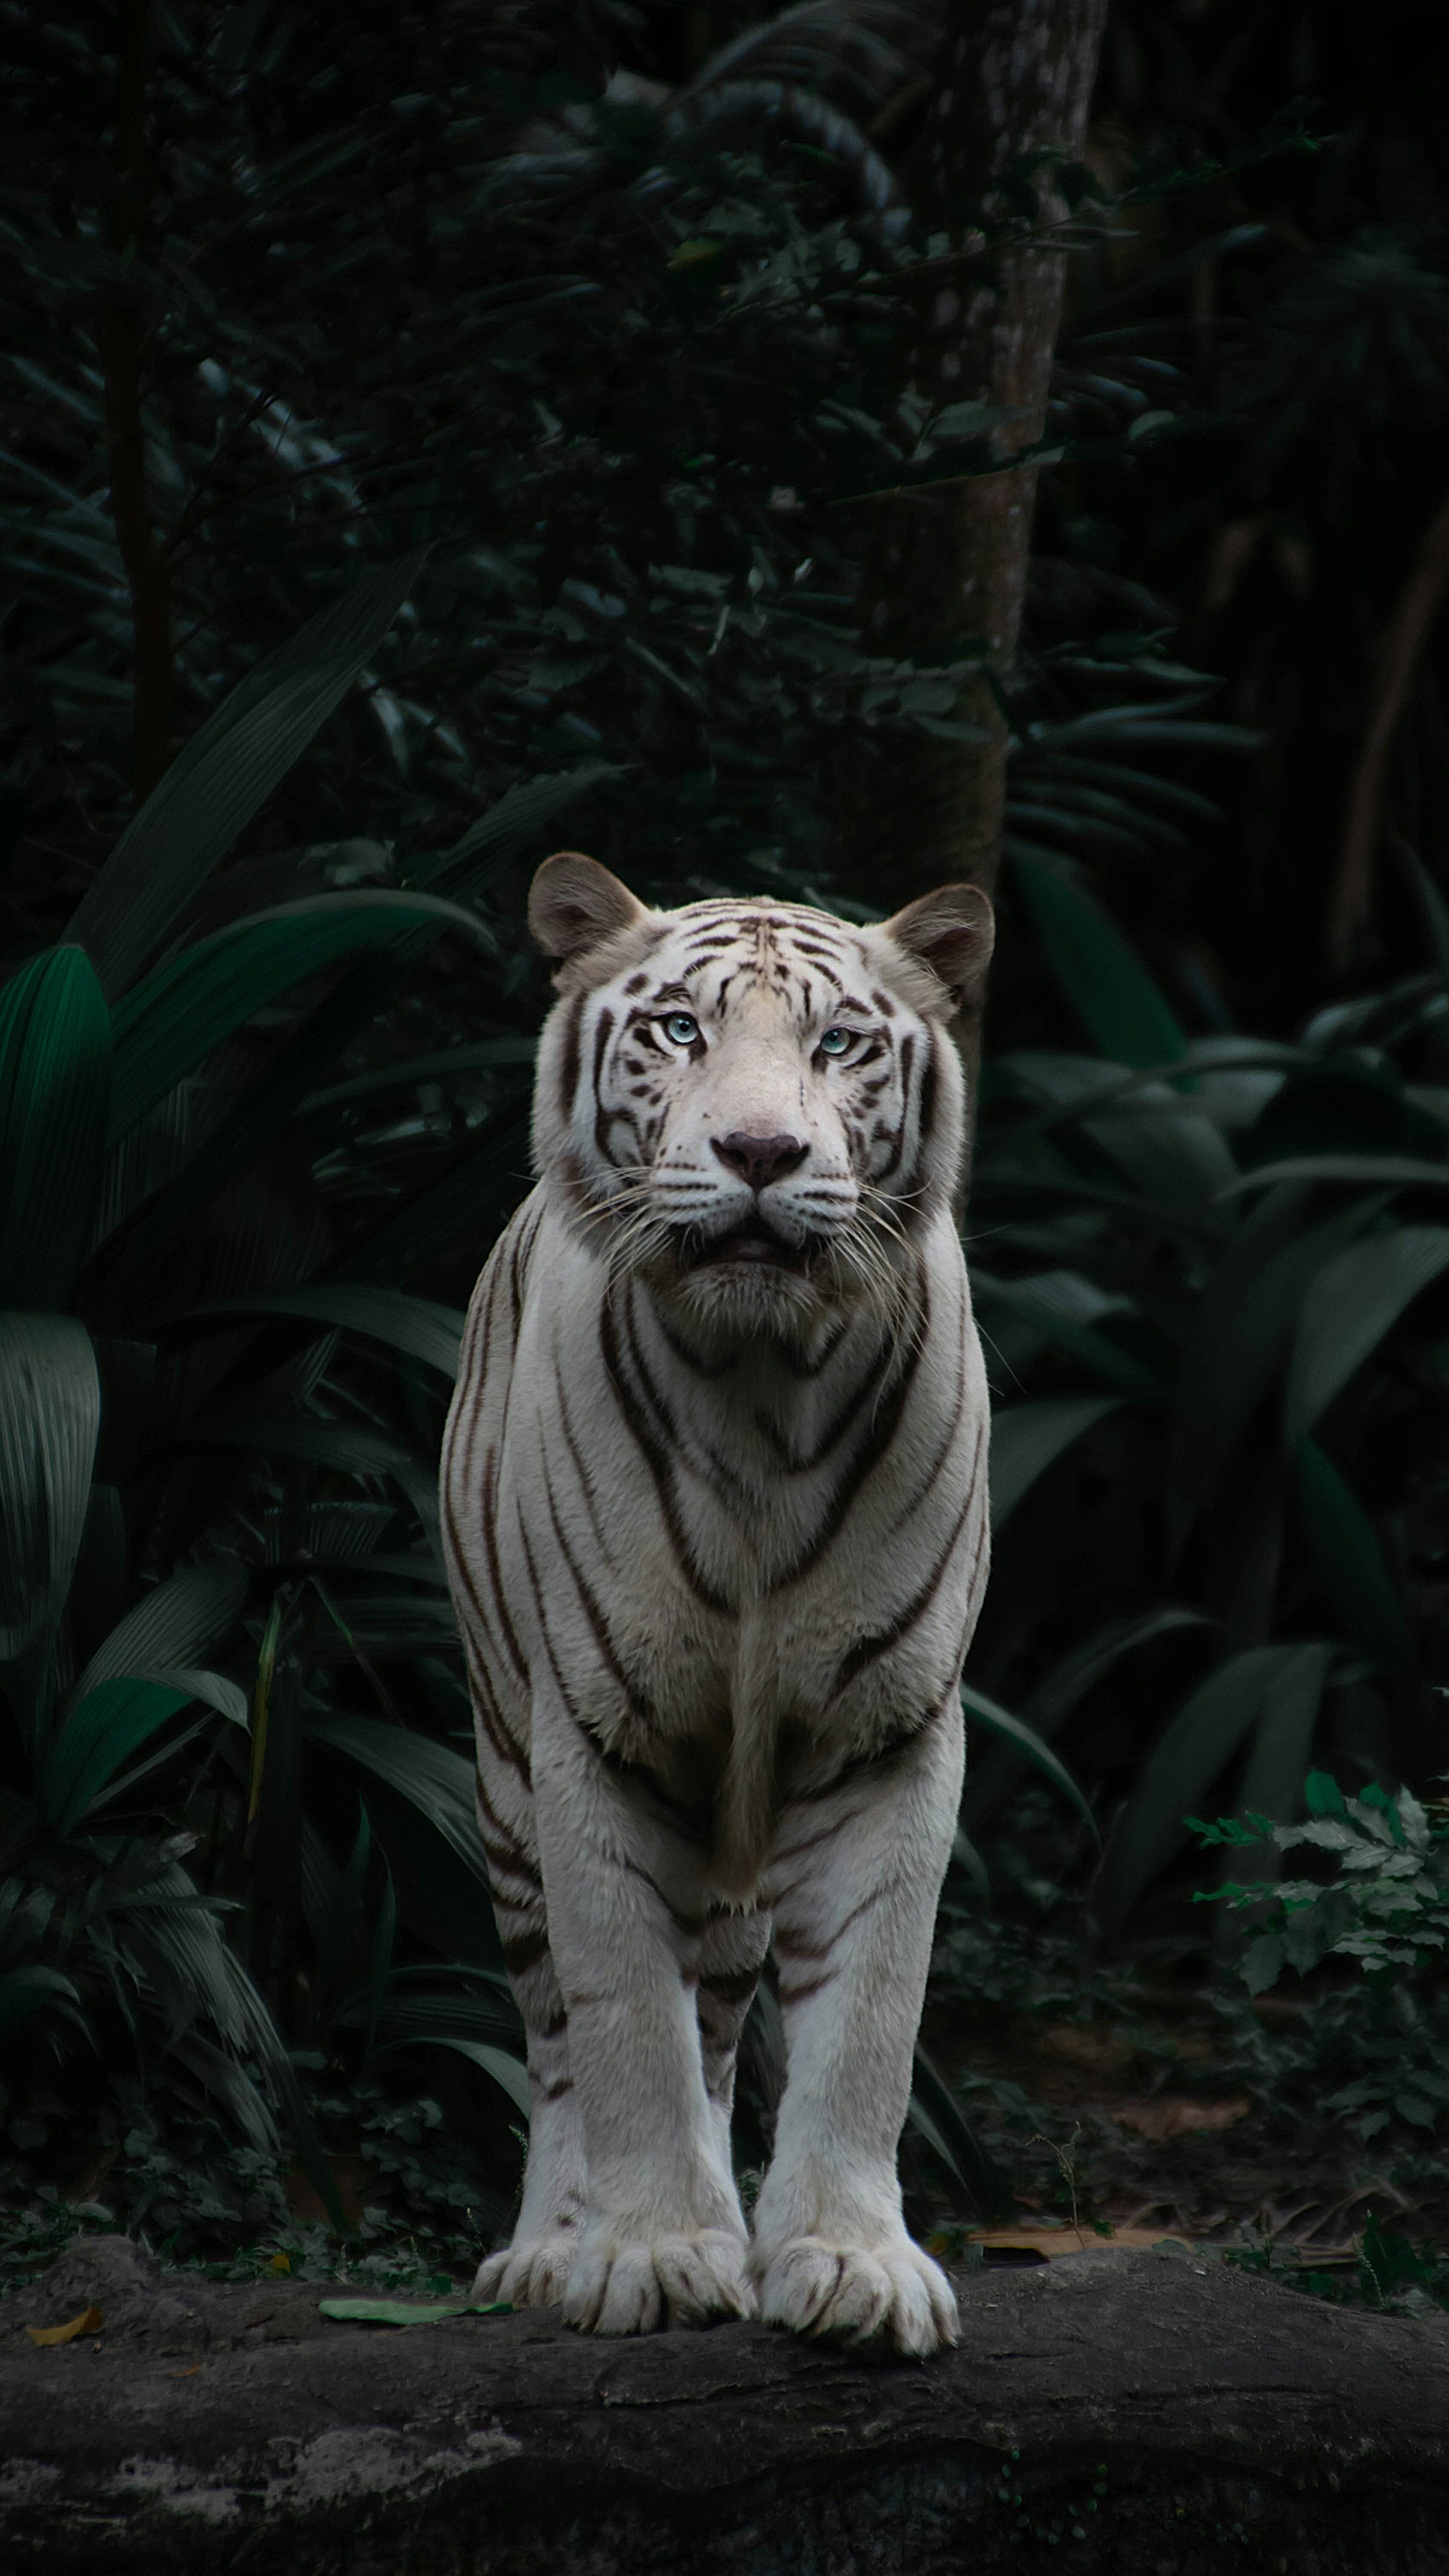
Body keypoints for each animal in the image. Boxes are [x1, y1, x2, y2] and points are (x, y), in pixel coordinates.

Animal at [440, 851, 994, 2356]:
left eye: (839, 1042)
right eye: (680, 1029)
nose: (758, 1154)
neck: (760, 1386)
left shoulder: (887, 1733)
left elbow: (867, 2020)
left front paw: (850, 2261)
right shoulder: (592, 1734)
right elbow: (624, 2019)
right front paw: (650, 2252)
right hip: (503, 1779)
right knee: (557, 2034)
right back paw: (550, 2247)